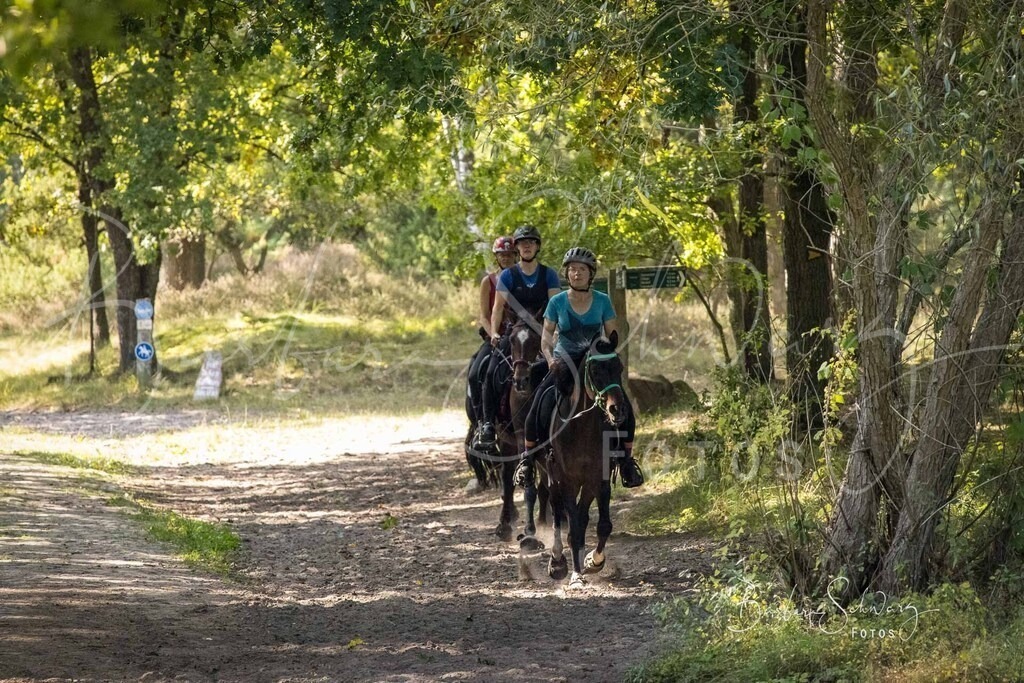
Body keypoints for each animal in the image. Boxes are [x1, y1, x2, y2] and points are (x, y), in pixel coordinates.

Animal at [545, 330, 627, 588]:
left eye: (619, 367)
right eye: (595, 370)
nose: (617, 410)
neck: (581, 426)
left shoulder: (598, 478)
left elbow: (602, 525)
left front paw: (593, 561)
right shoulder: (568, 480)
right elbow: (572, 524)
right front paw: (576, 575)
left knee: (581, 517)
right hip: (550, 477)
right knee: (557, 513)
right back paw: (558, 562)